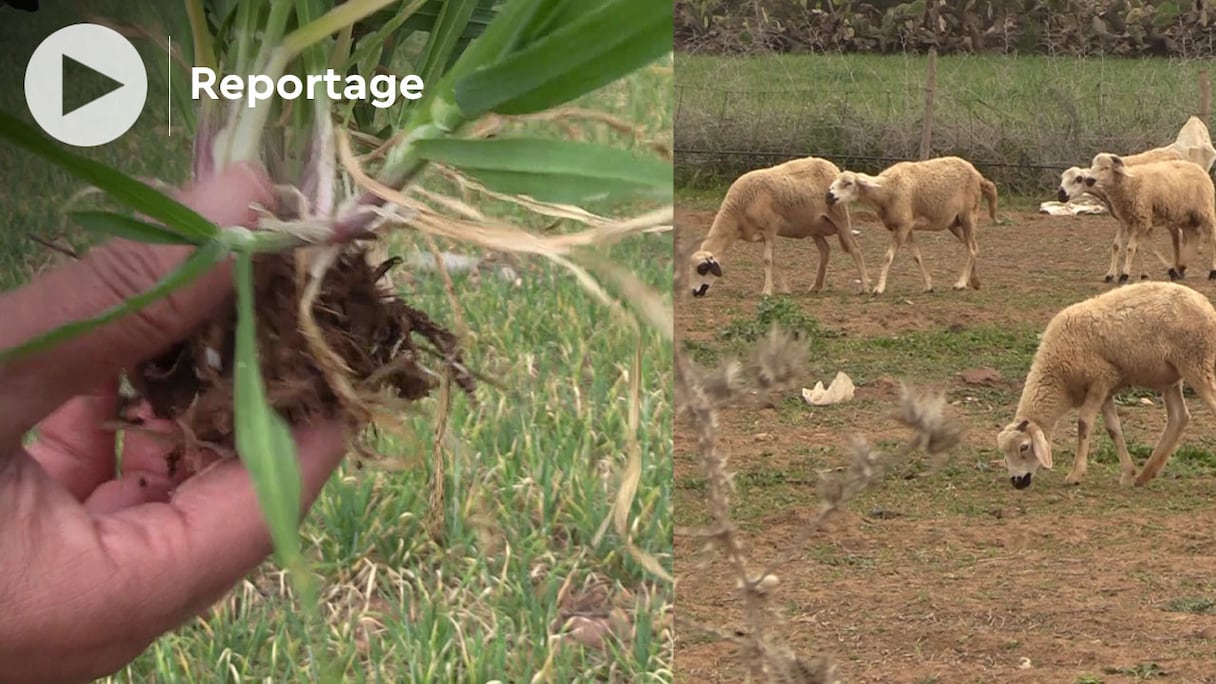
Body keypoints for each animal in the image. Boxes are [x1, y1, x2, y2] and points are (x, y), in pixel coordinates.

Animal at [690, 155, 870, 296]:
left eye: (702, 269)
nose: (694, 292)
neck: (737, 213)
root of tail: (832, 166)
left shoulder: (770, 229)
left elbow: (767, 260)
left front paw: (767, 292)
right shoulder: (765, 236)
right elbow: (774, 261)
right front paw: (784, 289)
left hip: (839, 216)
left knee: (855, 248)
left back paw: (865, 287)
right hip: (815, 226)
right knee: (825, 251)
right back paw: (816, 286)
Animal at [826, 155, 997, 294]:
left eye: (848, 183)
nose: (829, 195)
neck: (885, 192)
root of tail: (978, 175)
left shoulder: (902, 227)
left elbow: (888, 256)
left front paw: (879, 288)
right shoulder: (907, 228)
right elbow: (916, 256)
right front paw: (928, 285)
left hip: (968, 216)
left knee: (972, 248)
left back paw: (961, 283)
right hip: (954, 222)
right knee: (972, 247)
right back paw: (974, 281)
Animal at [992, 279, 1216, 486]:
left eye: (1024, 447)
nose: (1017, 482)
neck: (1057, 378)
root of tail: (1206, 304)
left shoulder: (1100, 379)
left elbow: (1084, 423)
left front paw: (1076, 475)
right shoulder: (1106, 389)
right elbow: (1113, 429)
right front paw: (1128, 473)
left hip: (1196, 362)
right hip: (1169, 376)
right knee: (1179, 417)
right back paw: (1146, 474)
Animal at [1084, 152, 1216, 282]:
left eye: (1106, 167)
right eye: (1093, 165)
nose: (1089, 180)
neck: (1129, 184)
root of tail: (1199, 168)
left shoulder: (1142, 220)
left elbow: (1131, 248)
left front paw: (1124, 275)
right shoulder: (1129, 221)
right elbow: (1130, 246)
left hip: (1205, 211)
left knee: (1212, 238)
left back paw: (1212, 272)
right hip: (1186, 217)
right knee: (1193, 237)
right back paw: (1182, 267)